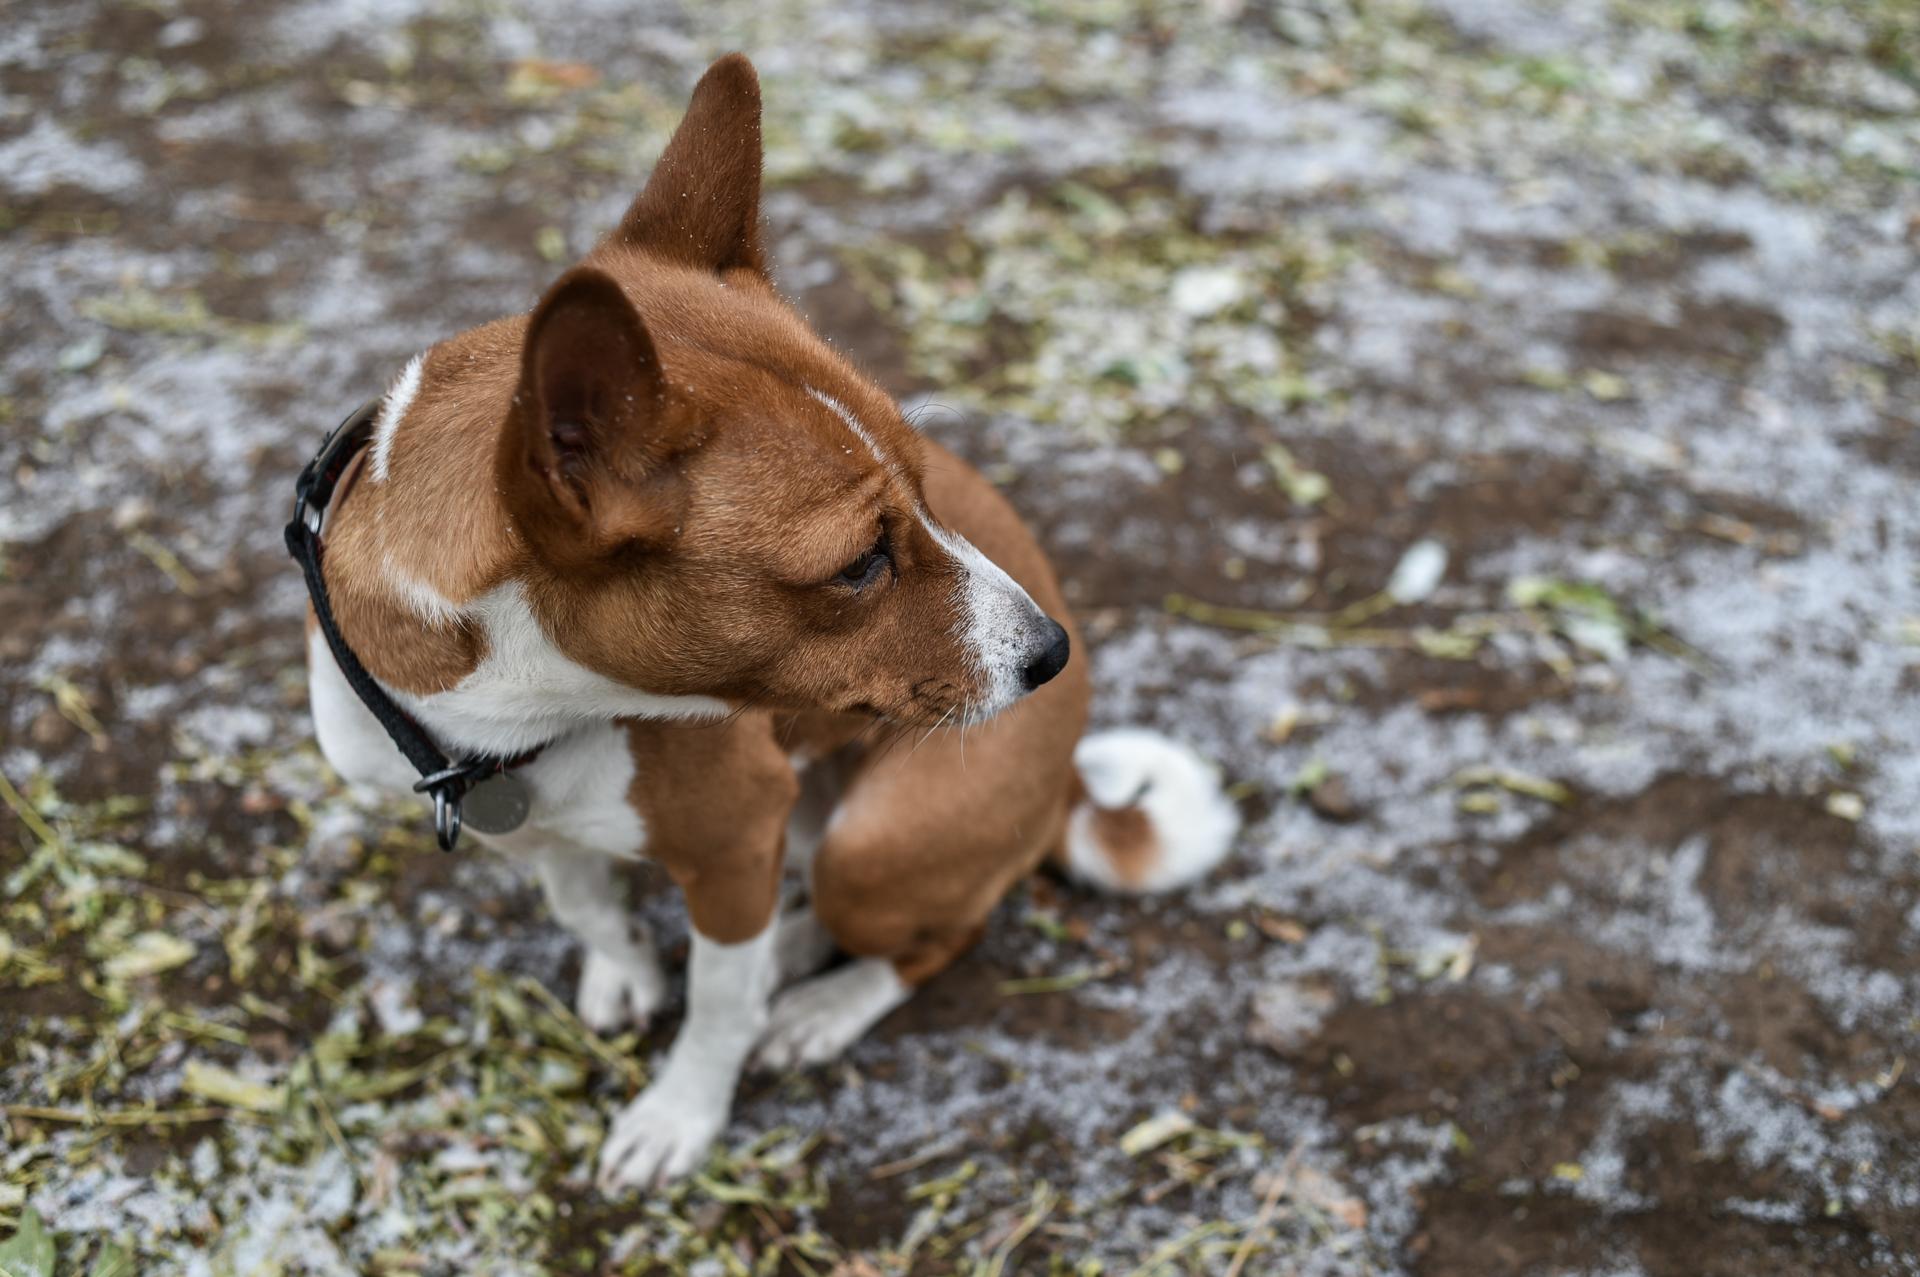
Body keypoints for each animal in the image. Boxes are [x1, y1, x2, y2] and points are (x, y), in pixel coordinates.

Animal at [307, 54, 1236, 1190]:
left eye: (929, 488)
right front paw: (625, 964)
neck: (529, 714)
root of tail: (1064, 780)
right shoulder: (524, 822)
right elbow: (584, 898)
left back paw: (818, 999)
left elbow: (715, 1010)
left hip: (874, 847)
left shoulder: (736, 839)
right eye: (859, 563)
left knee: (931, 931)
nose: (1053, 651)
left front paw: (681, 1113)